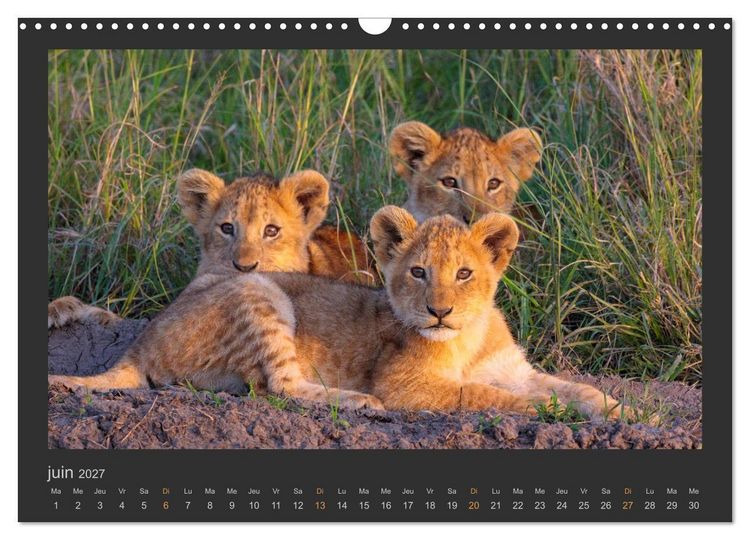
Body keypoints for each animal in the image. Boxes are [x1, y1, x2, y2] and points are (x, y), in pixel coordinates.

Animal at [49, 206, 635, 421]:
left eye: (465, 273)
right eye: (418, 272)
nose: (439, 311)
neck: (466, 338)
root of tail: (139, 343)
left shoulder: (514, 370)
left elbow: (576, 388)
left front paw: (626, 412)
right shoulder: (407, 387)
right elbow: (481, 396)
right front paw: (544, 413)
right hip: (257, 291)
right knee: (280, 387)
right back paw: (359, 402)